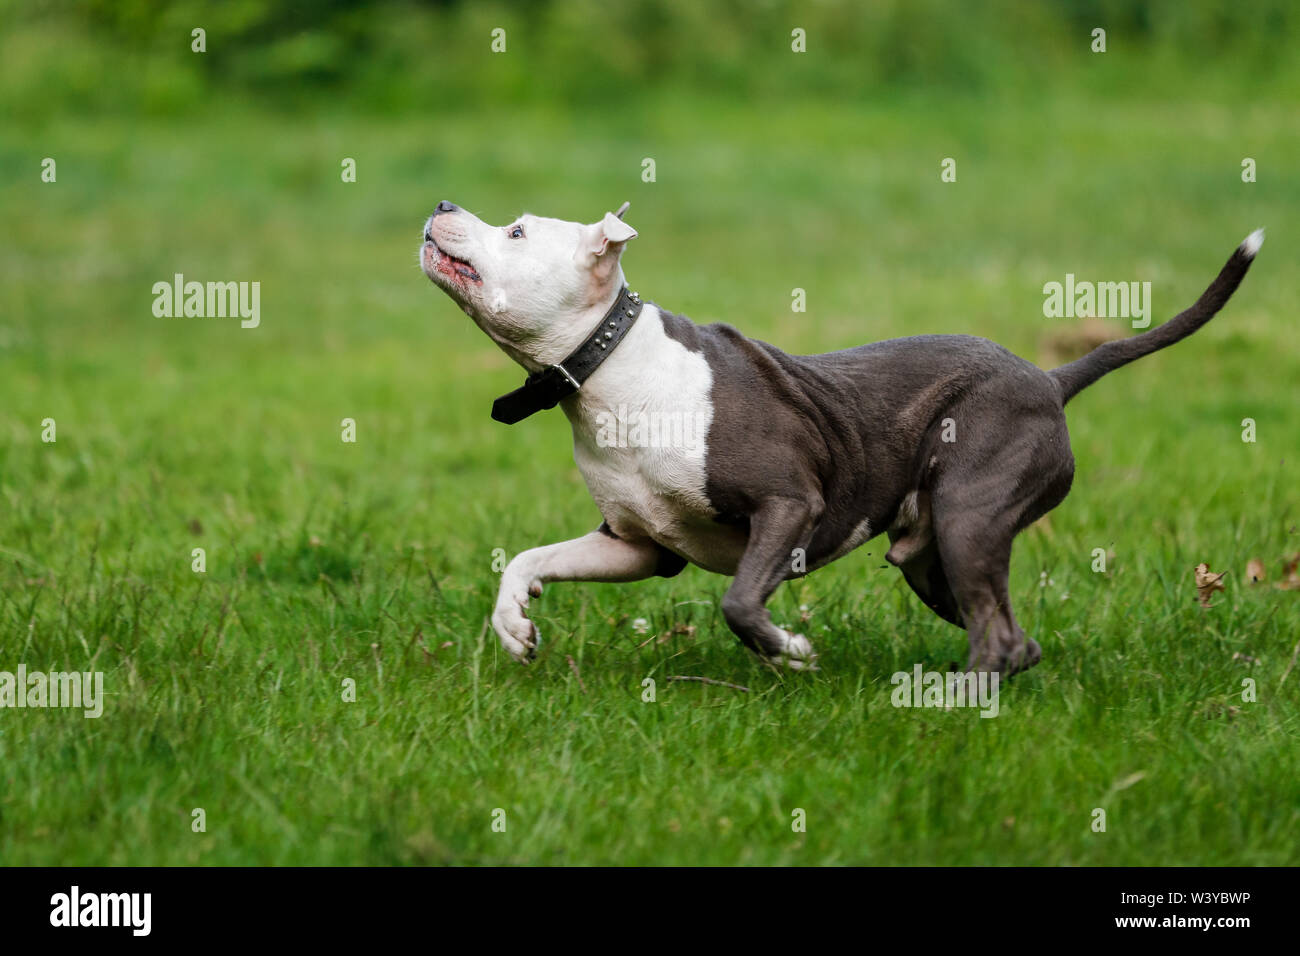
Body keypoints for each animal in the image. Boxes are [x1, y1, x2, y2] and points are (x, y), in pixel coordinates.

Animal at [421, 200, 1263, 681]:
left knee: (998, 636)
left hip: (969, 515)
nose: (442, 202)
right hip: (933, 558)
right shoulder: (637, 545)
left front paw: (790, 652)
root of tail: (1050, 380)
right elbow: (529, 559)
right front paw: (515, 625)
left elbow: (738, 602)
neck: (609, 364)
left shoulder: (788, 504)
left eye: (518, 230)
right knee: (1013, 636)